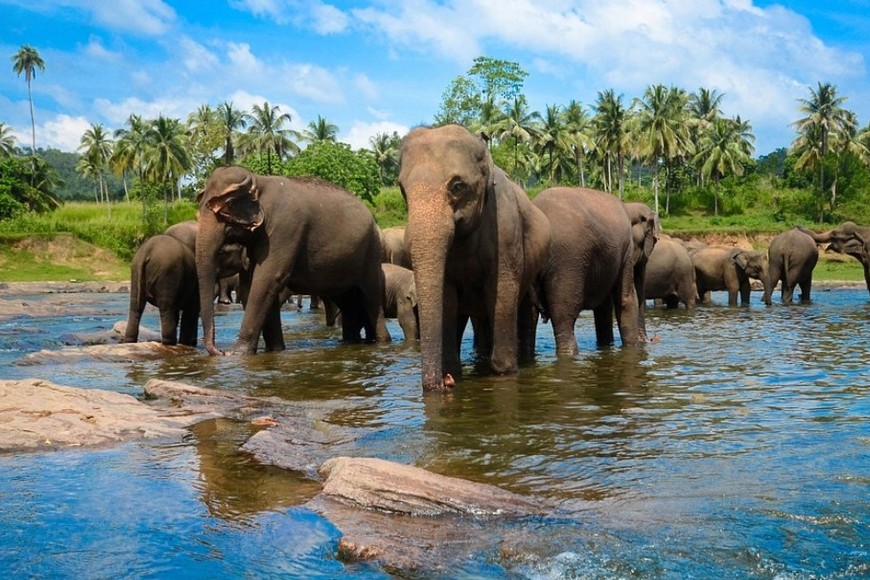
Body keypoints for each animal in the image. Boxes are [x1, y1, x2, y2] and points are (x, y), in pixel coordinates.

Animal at [195, 166, 390, 355]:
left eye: (226, 208)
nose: (220, 351)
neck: (258, 180)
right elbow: (250, 286)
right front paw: (275, 350)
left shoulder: (285, 228)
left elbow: (267, 279)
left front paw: (238, 353)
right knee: (348, 302)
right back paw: (352, 341)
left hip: (372, 252)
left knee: (370, 297)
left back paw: (381, 342)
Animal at [398, 124, 551, 390]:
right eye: (402, 190)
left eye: (457, 186)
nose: (445, 382)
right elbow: (447, 299)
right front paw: (453, 371)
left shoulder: (506, 229)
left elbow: (502, 292)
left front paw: (504, 372)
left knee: (524, 310)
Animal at [526, 187, 641, 357]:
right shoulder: (627, 248)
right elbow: (626, 298)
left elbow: (605, 306)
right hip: (568, 261)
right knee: (564, 316)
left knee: (527, 319)